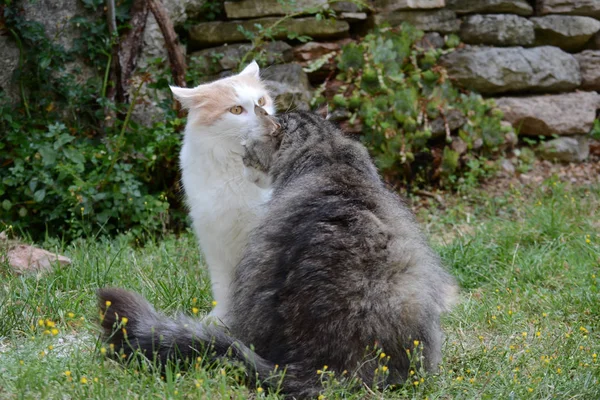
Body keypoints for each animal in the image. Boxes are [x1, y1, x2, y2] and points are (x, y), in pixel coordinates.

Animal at [171, 63, 274, 324]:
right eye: (236, 110)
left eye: (261, 101)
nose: (266, 117)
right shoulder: (214, 242)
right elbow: (223, 290)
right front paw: (220, 320)